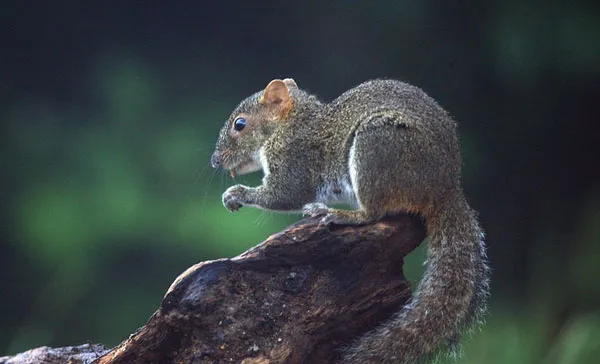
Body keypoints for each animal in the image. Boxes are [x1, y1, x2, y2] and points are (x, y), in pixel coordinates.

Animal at [210, 78, 488, 362]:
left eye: (240, 124)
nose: (214, 161)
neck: (291, 123)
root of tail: (445, 188)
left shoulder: (294, 161)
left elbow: (285, 194)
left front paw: (236, 194)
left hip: (376, 146)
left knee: (373, 213)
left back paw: (337, 214)